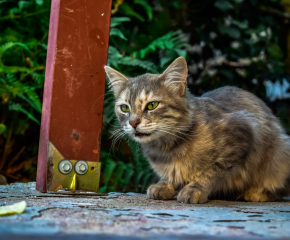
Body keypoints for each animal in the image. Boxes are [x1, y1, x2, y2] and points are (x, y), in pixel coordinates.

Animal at [103, 57, 290, 203]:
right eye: (124, 108)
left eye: (152, 105)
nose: (133, 122)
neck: (167, 148)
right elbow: (171, 175)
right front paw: (165, 184)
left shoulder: (243, 133)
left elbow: (212, 171)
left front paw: (195, 189)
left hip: (280, 154)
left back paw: (256, 193)